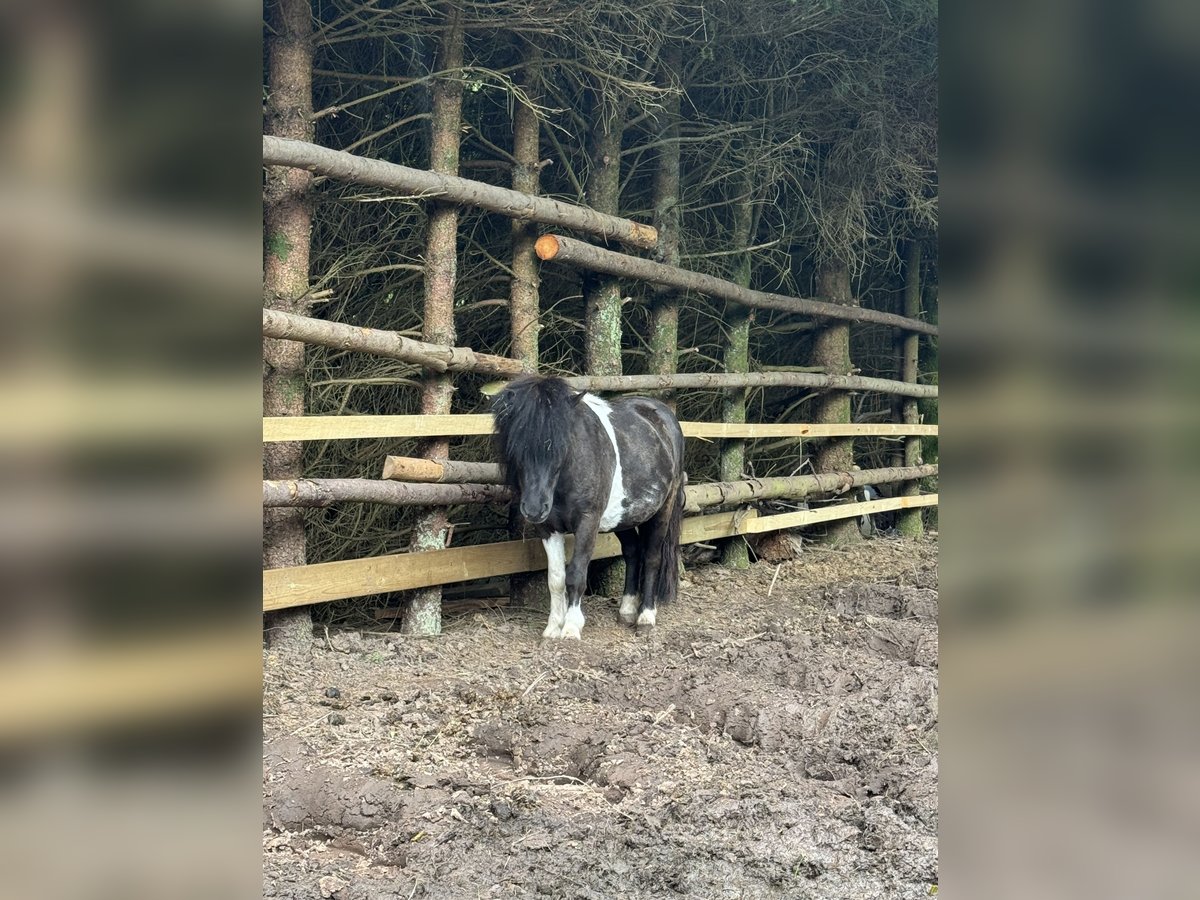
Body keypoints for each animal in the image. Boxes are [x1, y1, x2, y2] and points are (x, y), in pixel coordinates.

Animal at [492, 374, 686, 643]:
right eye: (515, 446)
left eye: (561, 447)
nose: (533, 509)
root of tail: (663, 415)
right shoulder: (548, 528)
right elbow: (556, 578)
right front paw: (553, 627)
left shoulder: (588, 522)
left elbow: (576, 574)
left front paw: (571, 628)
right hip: (623, 517)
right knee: (633, 552)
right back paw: (626, 610)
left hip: (662, 510)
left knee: (652, 557)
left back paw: (646, 617)